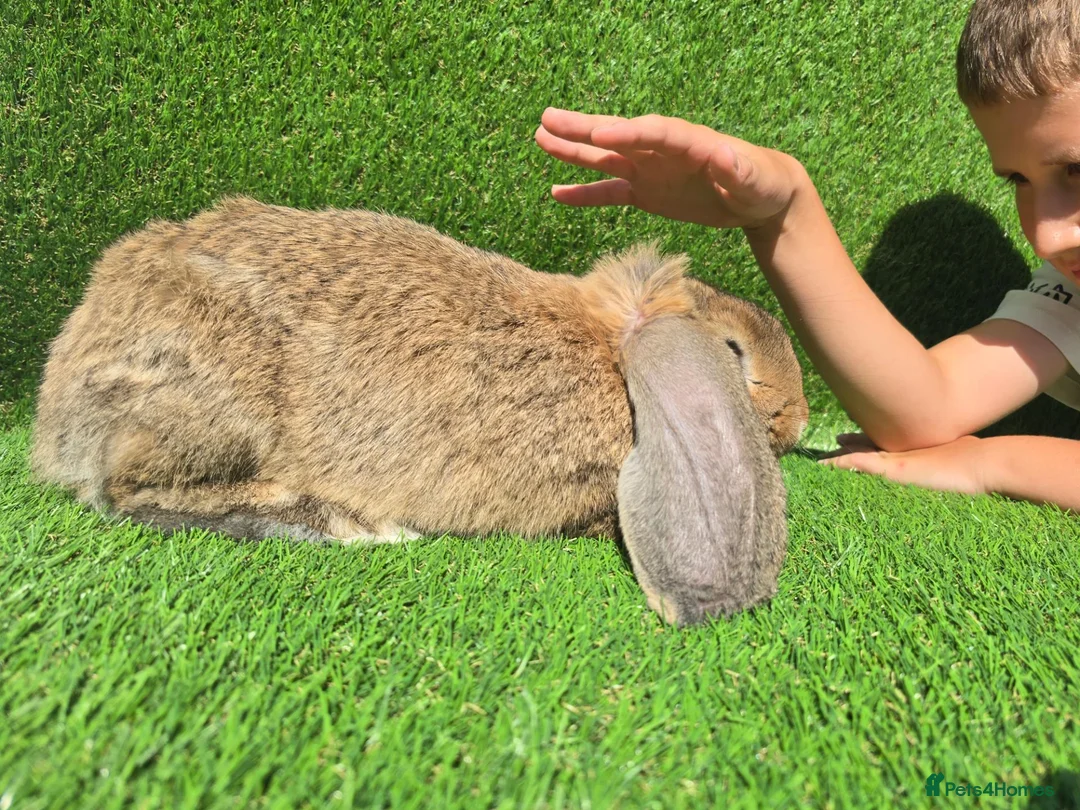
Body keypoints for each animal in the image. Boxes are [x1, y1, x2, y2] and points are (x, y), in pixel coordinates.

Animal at [30, 196, 808, 623]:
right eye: (735, 352)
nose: (800, 420)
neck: (609, 355)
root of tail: (53, 416)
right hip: (210, 409)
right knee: (127, 491)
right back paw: (342, 523)